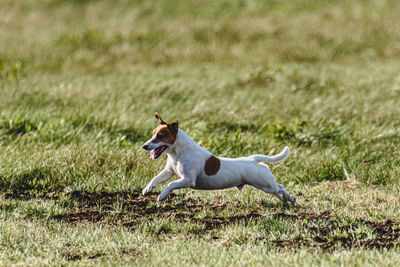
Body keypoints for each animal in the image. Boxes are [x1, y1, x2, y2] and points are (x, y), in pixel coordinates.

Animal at [142, 112, 296, 205]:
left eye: (160, 135)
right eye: (153, 134)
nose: (144, 146)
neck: (178, 153)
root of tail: (253, 159)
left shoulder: (188, 180)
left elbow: (171, 184)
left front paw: (162, 195)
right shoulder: (169, 172)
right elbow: (155, 178)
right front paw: (147, 189)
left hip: (264, 184)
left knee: (280, 187)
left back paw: (291, 199)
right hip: (266, 185)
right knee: (278, 191)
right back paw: (285, 201)